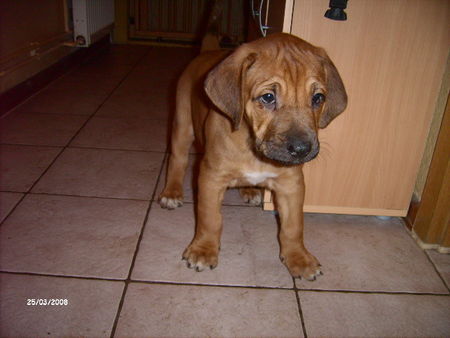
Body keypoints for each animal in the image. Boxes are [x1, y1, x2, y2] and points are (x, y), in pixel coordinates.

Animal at [160, 32, 346, 280]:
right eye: (268, 97)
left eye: (317, 98)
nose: (301, 150)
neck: (253, 149)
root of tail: (208, 52)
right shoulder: (211, 177)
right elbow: (210, 219)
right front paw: (204, 250)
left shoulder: (291, 184)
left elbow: (293, 226)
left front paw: (299, 257)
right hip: (182, 125)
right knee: (177, 160)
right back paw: (171, 192)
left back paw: (249, 190)